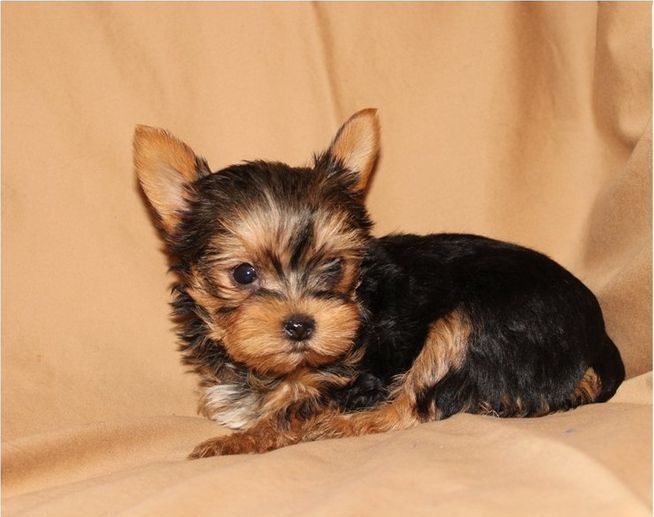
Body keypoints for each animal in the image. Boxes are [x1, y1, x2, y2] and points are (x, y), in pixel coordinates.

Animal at [132, 108, 624, 456]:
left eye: (334, 266)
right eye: (244, 274)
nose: (300, 325)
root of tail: (596, 337)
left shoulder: (360, 376)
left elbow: (296, 407)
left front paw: (238, 441)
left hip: (475, 327)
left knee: (420, 405)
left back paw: (339, 426)